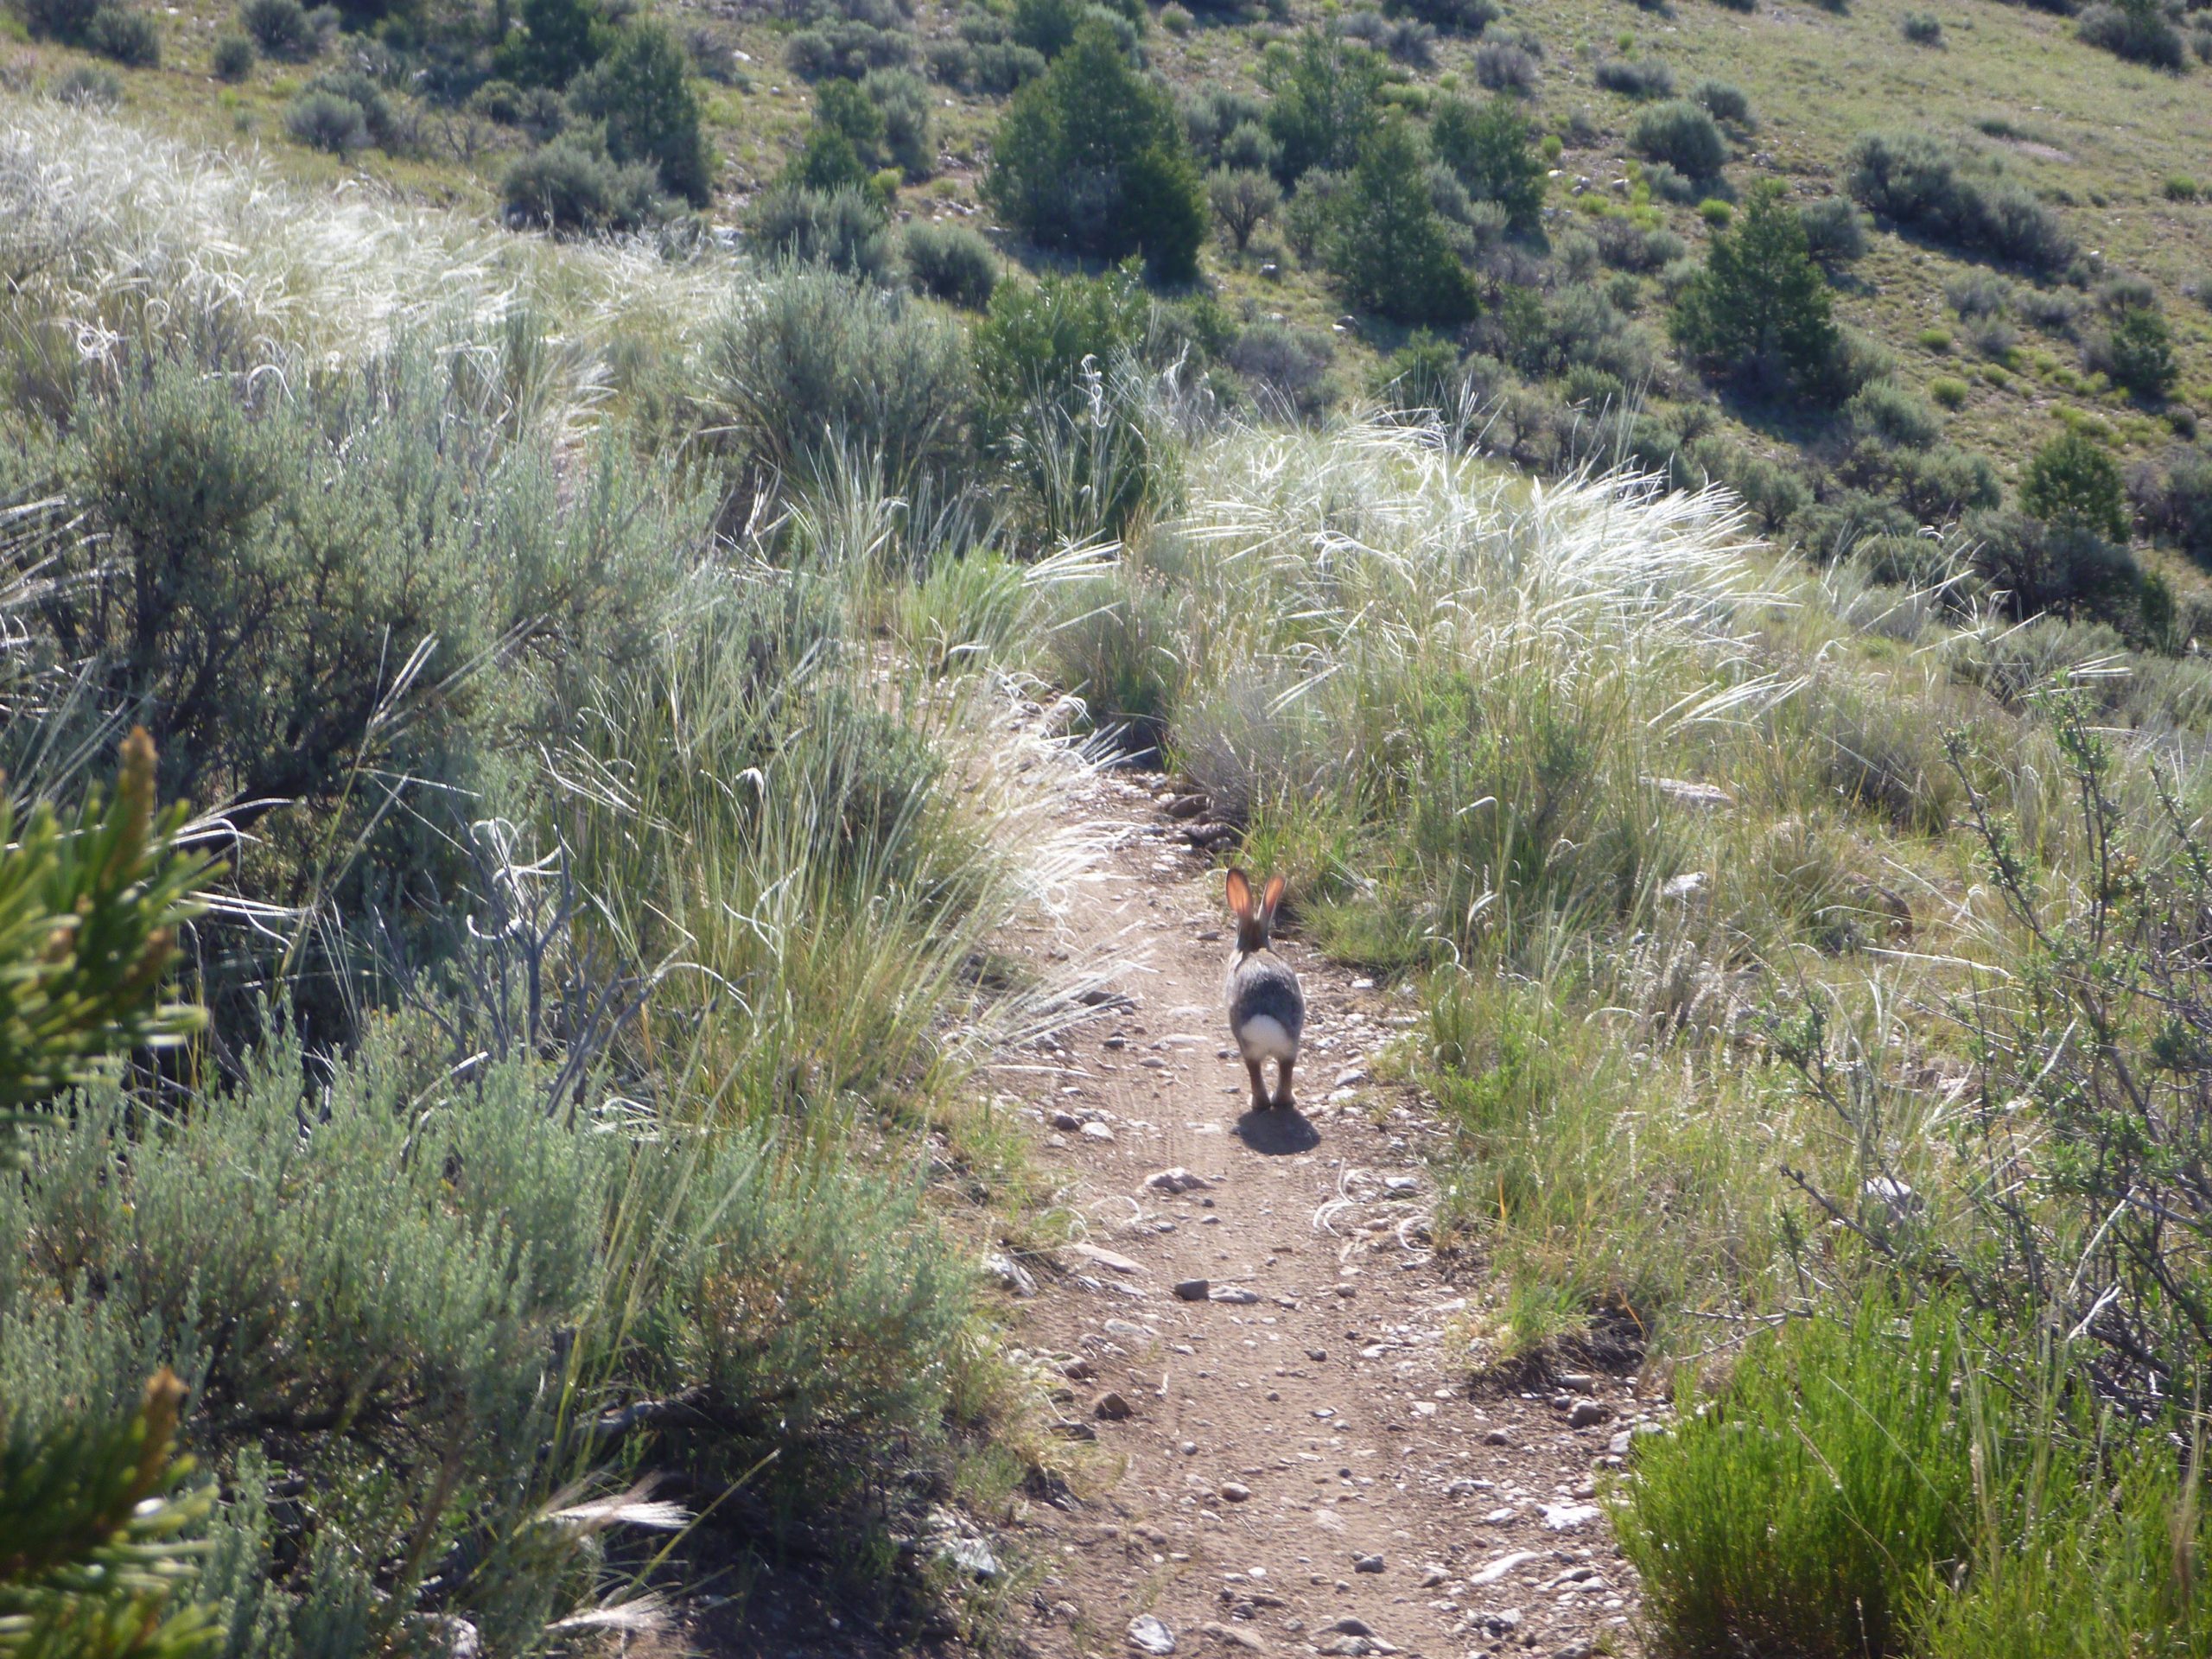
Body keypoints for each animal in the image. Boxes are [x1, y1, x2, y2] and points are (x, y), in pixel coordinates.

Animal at [1224, 869, 1305, 1112]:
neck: (1254, 945)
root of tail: (1266, 1022)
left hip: (1247, 1045)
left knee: (1255, 1072)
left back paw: (1256, 1102)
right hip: (1291, 1044)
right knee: (1285, 1073)